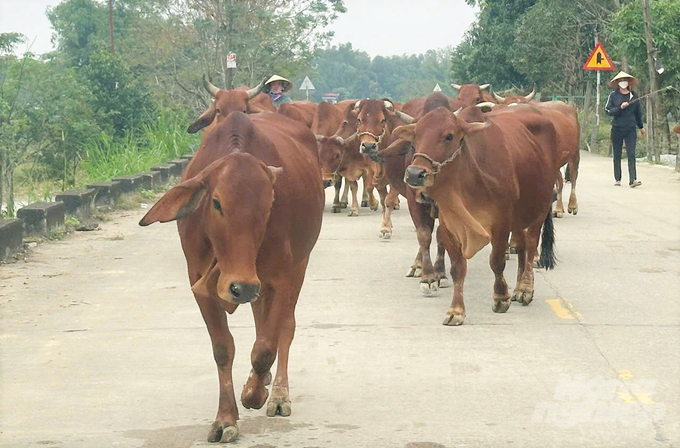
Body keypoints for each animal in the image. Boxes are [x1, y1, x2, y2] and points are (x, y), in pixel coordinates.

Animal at [139, 111, 324, 440]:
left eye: (268, 206)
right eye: (216, 203)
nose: (241, 287)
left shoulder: (280, 277)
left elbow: (265, 348)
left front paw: (254, 394)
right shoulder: (199, 281)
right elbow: (223, 348)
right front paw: (225, 419)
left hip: (297, 266)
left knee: (283, 329)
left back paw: (277, 394)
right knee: (260, 321)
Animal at [398, 107, 556, 328]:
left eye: (449, 136)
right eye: (415, 137)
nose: (414, 174)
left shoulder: (501, 224)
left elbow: (497, 262)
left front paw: (501, 297)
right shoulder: (450, 226)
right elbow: (457, 268)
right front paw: (456, 310)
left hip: (540, 209)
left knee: (532, 244)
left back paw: (525, 288)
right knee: (522, 246)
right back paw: (518, 287)